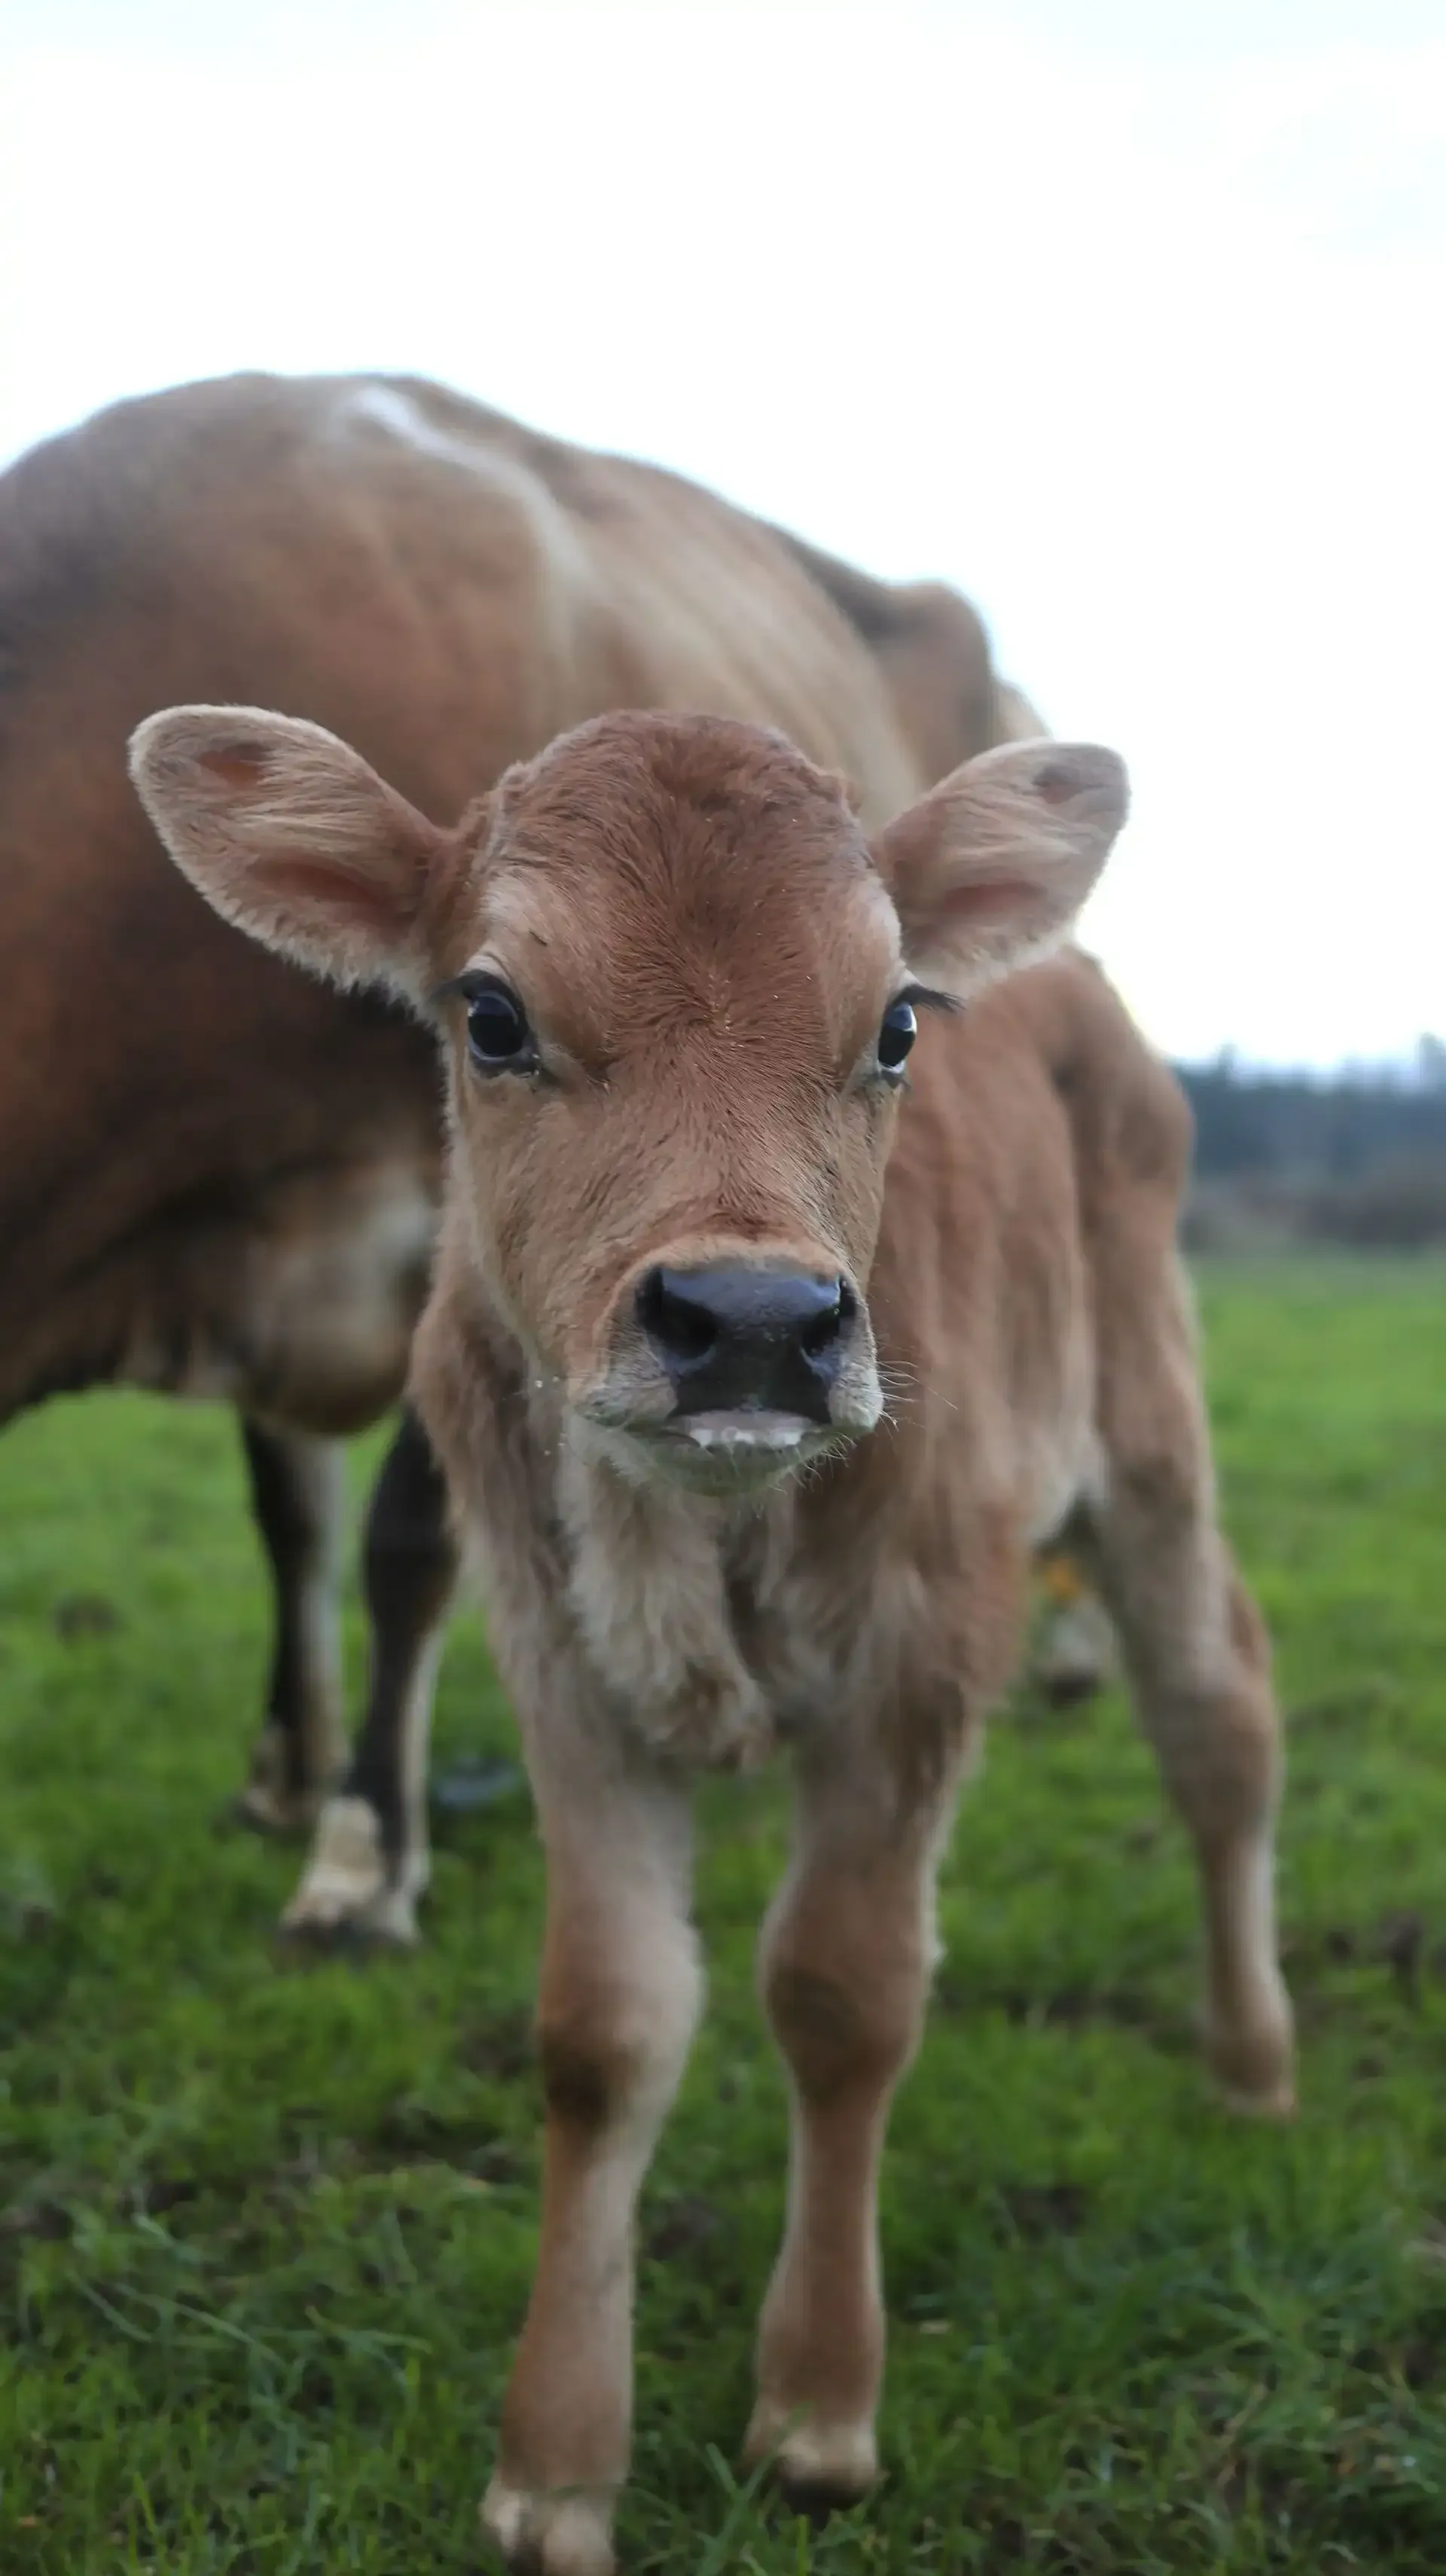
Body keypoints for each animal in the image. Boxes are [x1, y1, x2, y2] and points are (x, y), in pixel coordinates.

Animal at [1, 367, 1061, 1939]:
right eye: (490, 1016)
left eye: (896, 1020)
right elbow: (287, 1520)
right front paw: (287, 1772)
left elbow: (400, 1541)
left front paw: (362, 1852)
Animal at [132, 697, 1296, 2574]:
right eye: (490, 1013)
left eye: (896, 1021)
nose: (755, 1320)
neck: (686, 1538)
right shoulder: (560, 1671)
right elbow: (603, 2031)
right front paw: (553, 2470)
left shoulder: (922, 1655)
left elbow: (843, 1991)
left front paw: (817, 2408)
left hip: (1150, 1433)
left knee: (1219, 1720)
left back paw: (1253, 2064)